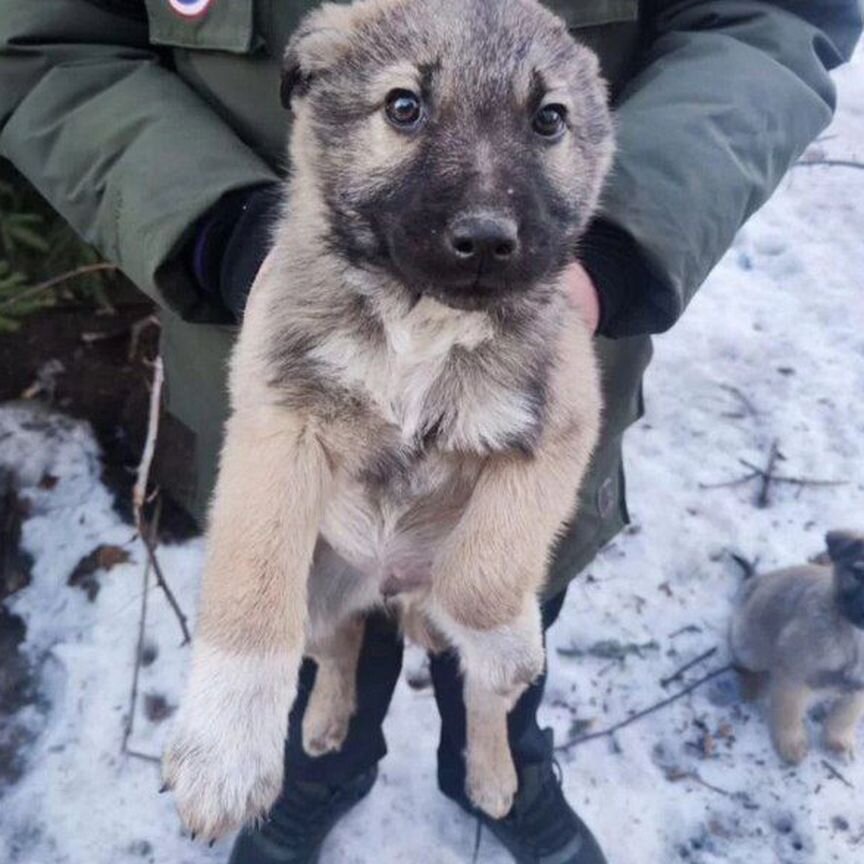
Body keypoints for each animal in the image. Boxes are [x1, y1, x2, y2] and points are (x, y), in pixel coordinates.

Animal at [164, 0, 616, 836]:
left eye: (549, 119)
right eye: (404, 107)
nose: (486, 240)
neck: (419, 316)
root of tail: (387, 583)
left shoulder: (561, 428)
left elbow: (482, 578)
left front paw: (501, 639)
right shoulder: (276, 422)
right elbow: (250, 591)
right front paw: (225, 753)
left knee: (478, 692)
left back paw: (493, 772)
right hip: (321, 582)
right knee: (337, 642)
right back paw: (324, 722)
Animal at [732, 528, 864, 768]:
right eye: (859, 574)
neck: (855, 640)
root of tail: (754, 581)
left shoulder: (859, 692)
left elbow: (845, 717)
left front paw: (838, 741)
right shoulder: (793, 673)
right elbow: (789, 712)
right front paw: (791, 743)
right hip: (749, 648)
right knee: (742, 665)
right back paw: (752, 688)